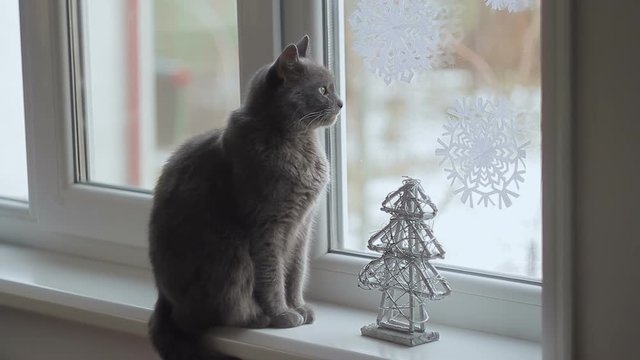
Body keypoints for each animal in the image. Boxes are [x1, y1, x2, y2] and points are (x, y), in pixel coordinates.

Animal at [148, 34, 342, 360]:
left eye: (333, 88)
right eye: (323, 90)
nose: (341, 102)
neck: (298, 144)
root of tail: (163, 300)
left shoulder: (302, 226)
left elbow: (296, 272)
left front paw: (299, 307)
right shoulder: (268, 226)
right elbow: (272, 276)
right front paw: (283, 314)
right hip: (232, 252)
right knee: (217, 312)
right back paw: (259, 317)